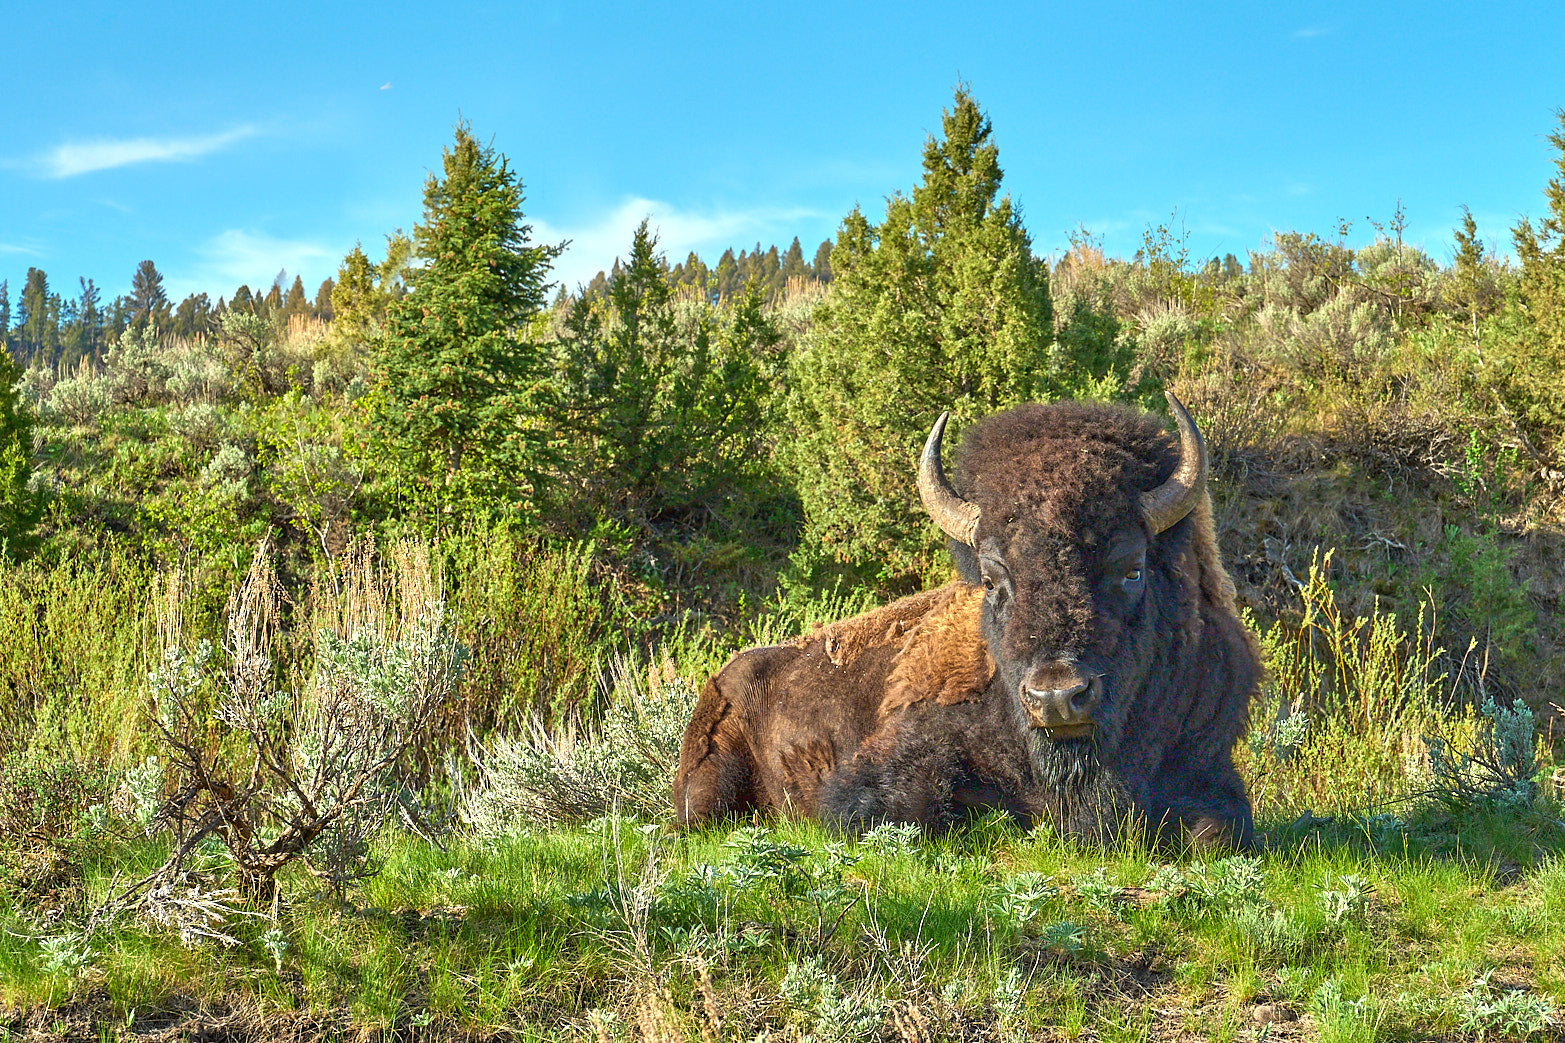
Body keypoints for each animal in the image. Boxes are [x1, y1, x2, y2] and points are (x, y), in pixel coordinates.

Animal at [673, 394, 1261, 849]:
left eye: (1132, 568)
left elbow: (1220, 830)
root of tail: (727, 674)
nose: (1056, 697)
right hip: (707, 787)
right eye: (994, 578)